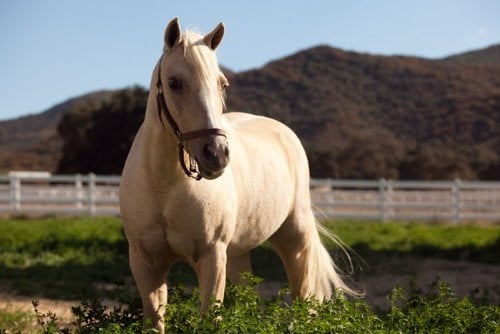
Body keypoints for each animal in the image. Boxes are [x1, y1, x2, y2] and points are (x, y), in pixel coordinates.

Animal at [119, 18, 358, 334]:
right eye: (174, 83)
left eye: (222, 84)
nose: (216, 154)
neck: (165, 187)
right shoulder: (146, 264)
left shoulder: (212, 258)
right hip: (237, 255)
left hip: (294, 238)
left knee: (304, 298)